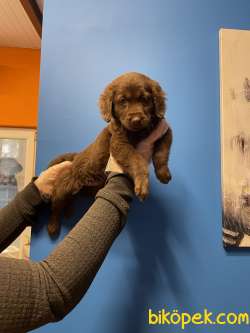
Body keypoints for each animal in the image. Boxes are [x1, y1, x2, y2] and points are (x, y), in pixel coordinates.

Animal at [47, 71, 172, 235]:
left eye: (145, 99)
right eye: (123, 100)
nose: (136, 119)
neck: (138, 132)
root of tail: (75, 157)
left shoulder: (165, 130)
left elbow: (161, 153)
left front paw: (163, 173)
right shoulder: (119, 143)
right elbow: (137, 159)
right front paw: (142, 184)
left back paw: (68, 211)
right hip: (64, 184)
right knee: (55, 204)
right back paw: (53, 225)